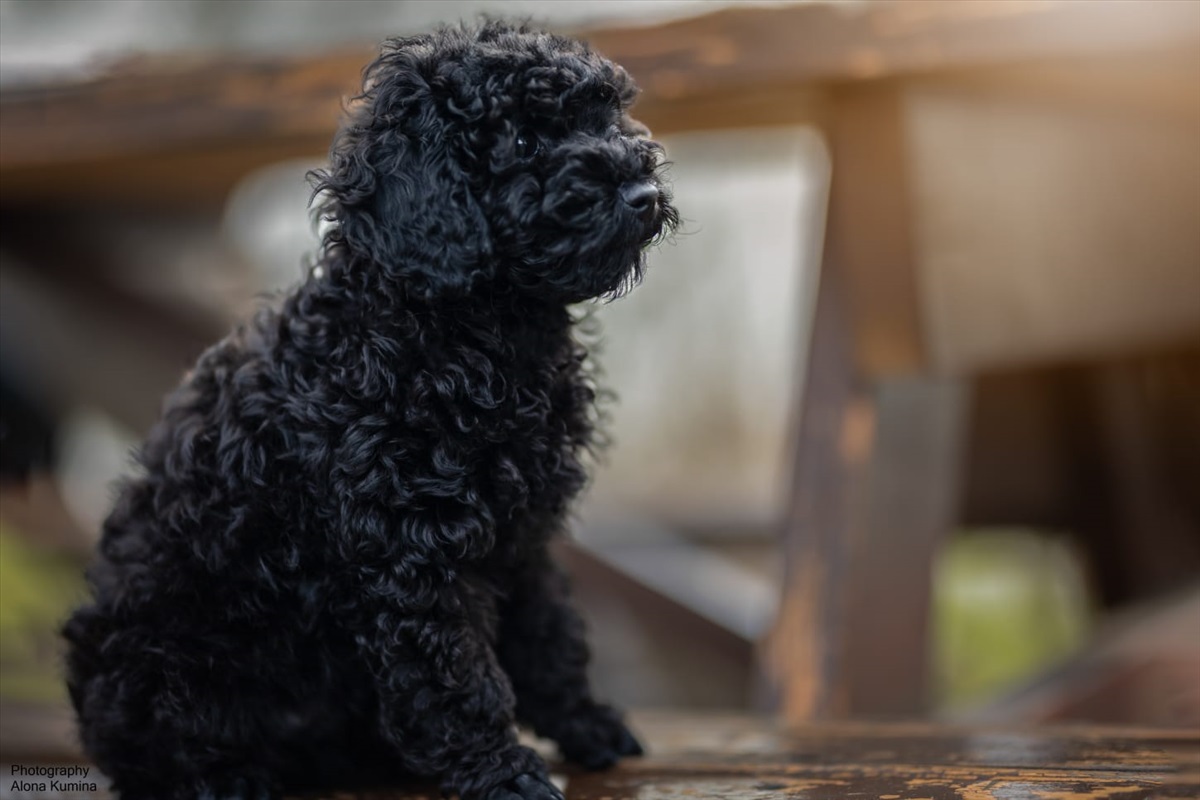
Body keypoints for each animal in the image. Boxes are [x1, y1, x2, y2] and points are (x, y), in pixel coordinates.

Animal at [65, 20, 676, 800]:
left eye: (604, 118)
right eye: (520, 140)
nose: (642, 191)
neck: (466, 338)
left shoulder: (521, 537)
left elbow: (549, 633)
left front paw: (589, 726)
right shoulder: (412, 552)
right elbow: (458, 675)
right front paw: (503, 771)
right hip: (163, 665)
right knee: (161, 749)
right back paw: (231, 777)